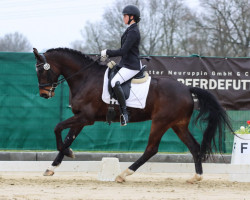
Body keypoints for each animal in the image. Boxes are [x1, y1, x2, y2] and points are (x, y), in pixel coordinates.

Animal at [32, 47, 232, 184]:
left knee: (151, 149)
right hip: (178, 124)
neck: (85, 77)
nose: (44, 94)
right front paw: (52, 166)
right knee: (194, 146)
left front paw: (68, 153)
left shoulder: (86, 118)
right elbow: (67, 138)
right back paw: (196, 177)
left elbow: (57, 128)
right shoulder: (80, 119)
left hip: (160, 122)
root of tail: (187, 88)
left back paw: (124, 174)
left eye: (41, 70)